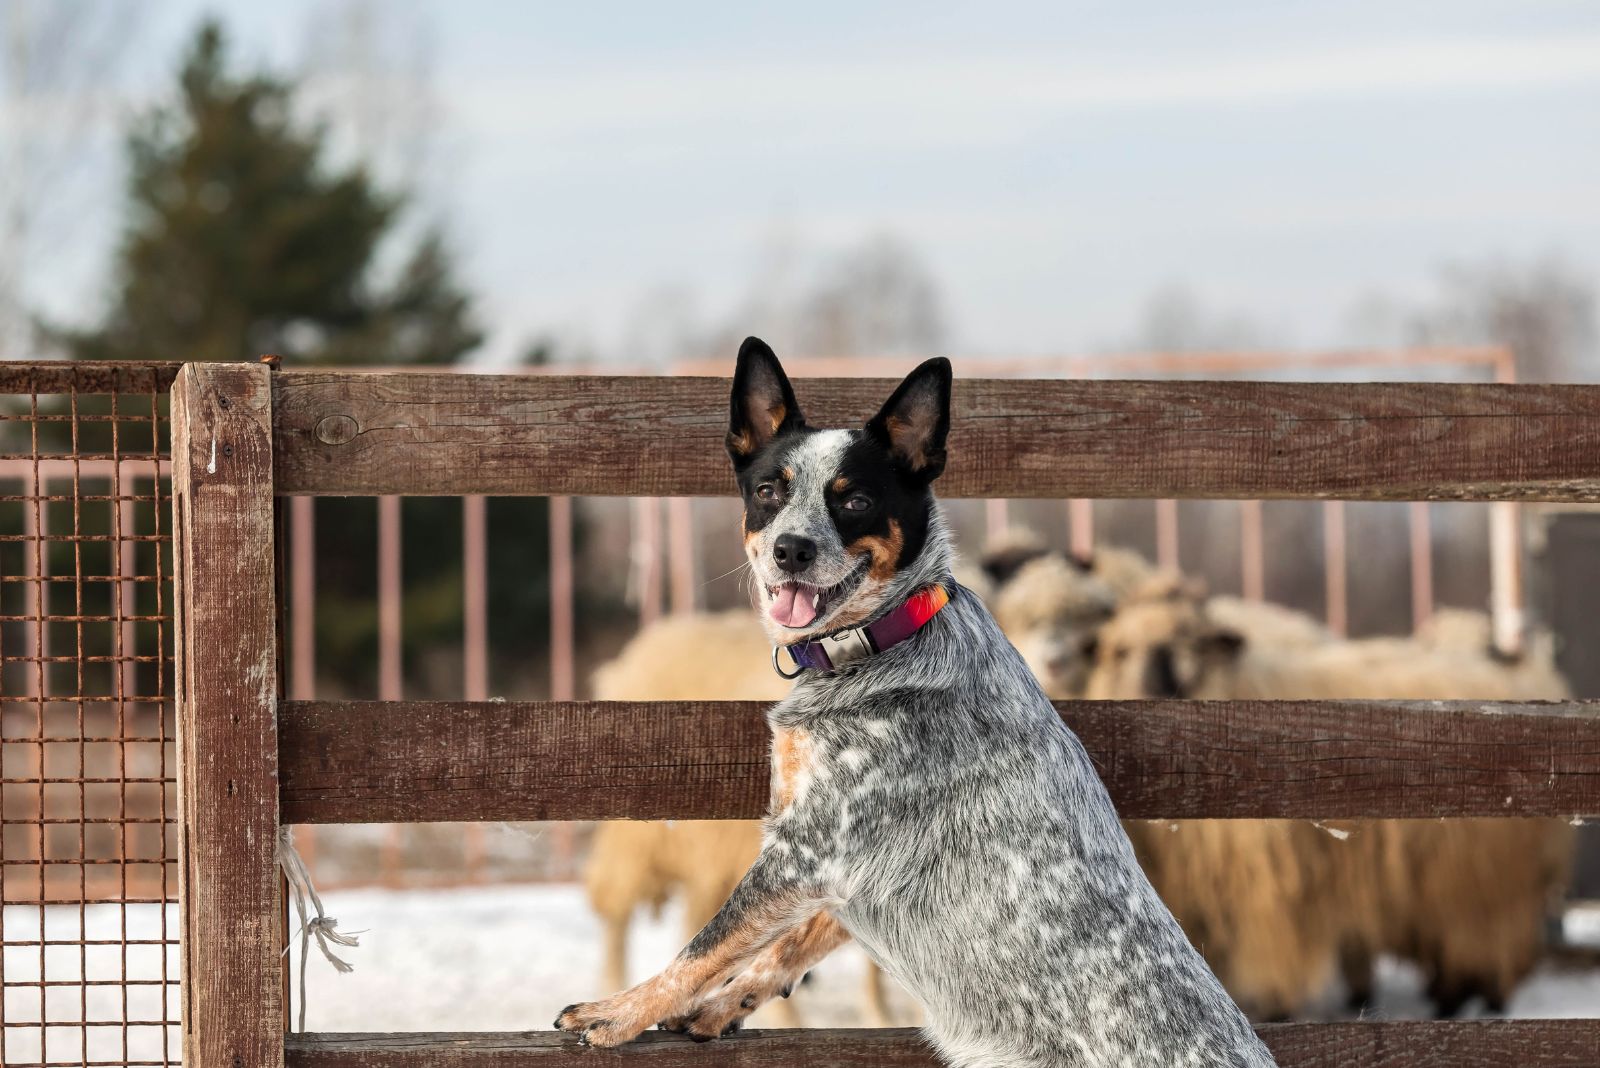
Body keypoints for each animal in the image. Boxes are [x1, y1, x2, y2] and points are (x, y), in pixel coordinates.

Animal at [556, 337, 1267, 1061]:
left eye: (855, 501)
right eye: (768, 491)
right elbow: (783, 946)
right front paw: (721, 1006)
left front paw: (619, 1011)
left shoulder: (807, 849)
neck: (882, 639)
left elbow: (704, 945)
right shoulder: (846, 874)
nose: (790, 549)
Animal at [1088, 585, 1574, 1016]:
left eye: (1190, 641)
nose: (1151, 685)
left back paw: (1469, 1001)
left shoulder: (1265, 883)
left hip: (1482, 877)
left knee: (1486, 938)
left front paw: (1272, 1007)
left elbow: (1269, 948)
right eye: (1120, 650)